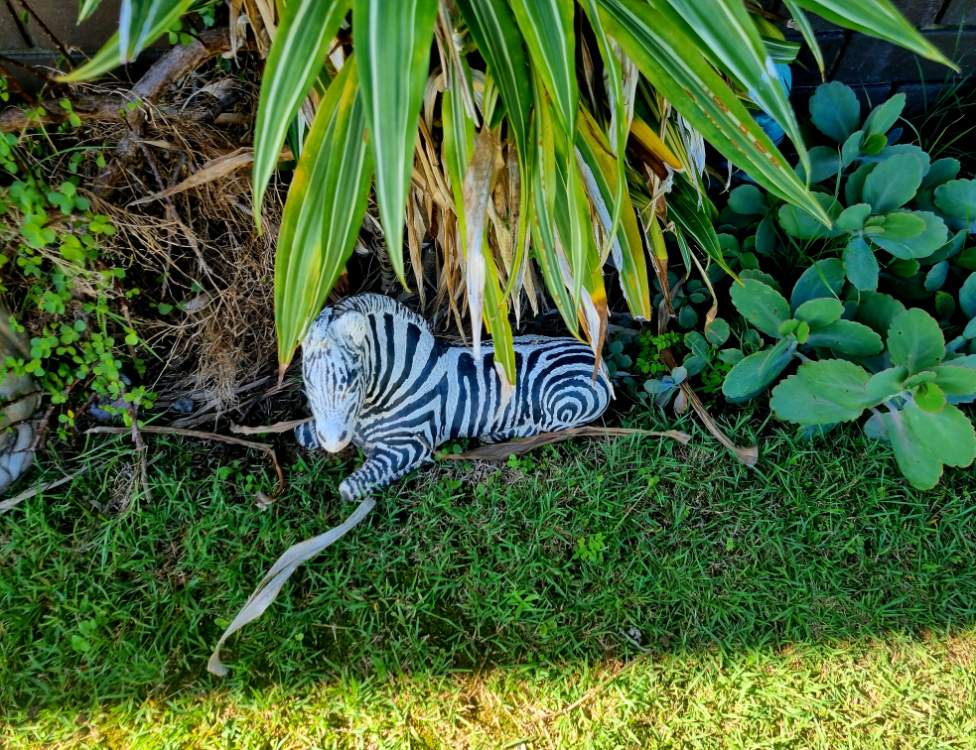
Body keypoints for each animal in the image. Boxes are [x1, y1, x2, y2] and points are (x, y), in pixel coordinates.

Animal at [296, 293, 613, 500]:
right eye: (309, 383)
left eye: (350, 384)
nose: (335, 444)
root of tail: (597, 359)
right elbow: (300, 434)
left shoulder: (409, 448)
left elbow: (348, 489)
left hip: (562, 402)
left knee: (550, 426)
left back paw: (497, 435)